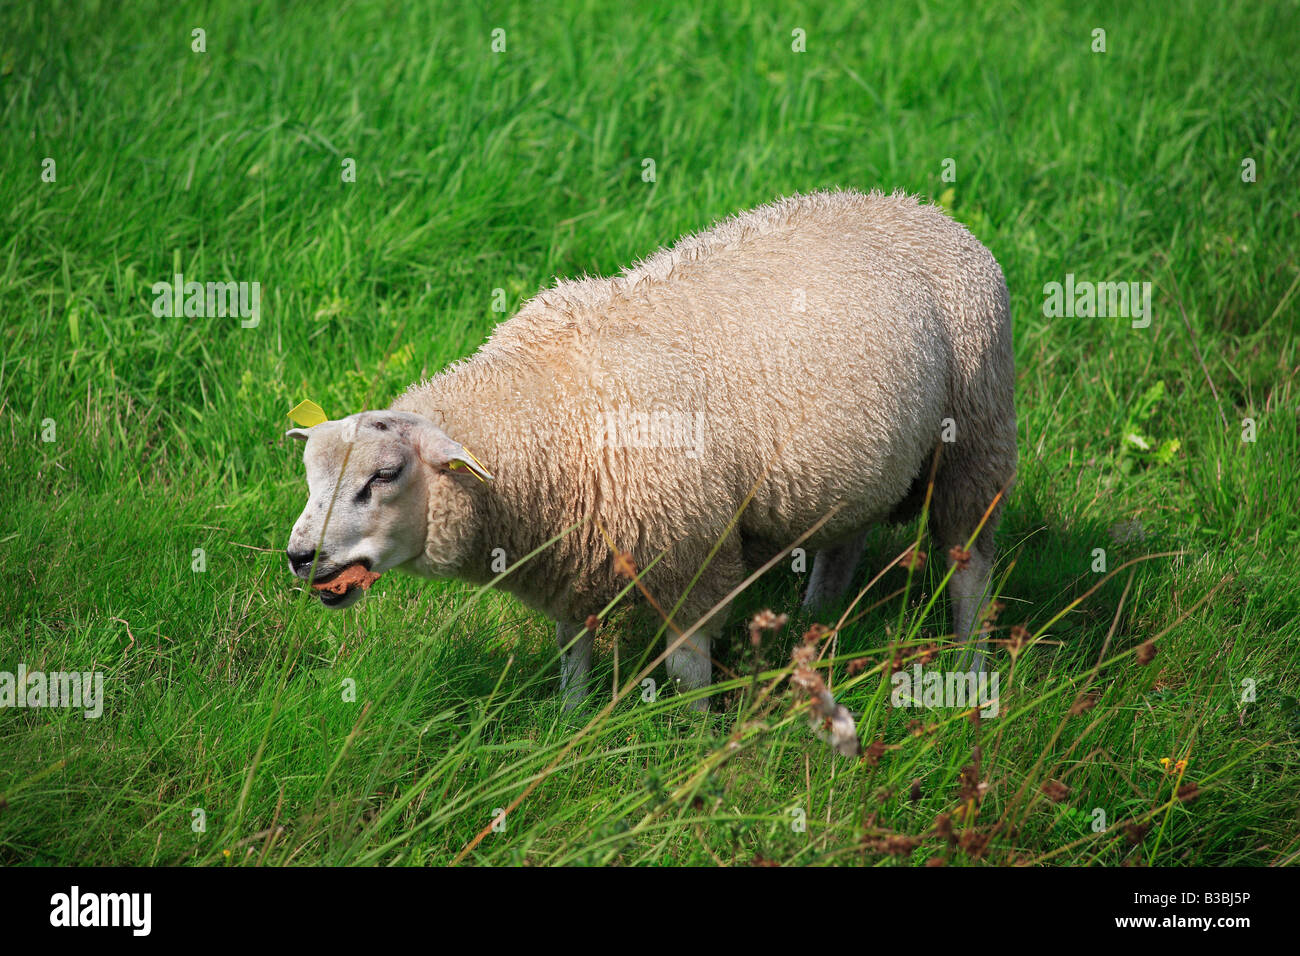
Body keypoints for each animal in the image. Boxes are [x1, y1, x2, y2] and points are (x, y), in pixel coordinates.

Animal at [286, 189, 1017, 710]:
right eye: (310, 477)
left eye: (384, 475)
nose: (299, 556)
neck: (551, 409)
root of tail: (918, 206)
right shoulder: (570, 553)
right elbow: (572, 651)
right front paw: (568, 724)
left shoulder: (692, 549)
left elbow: (688, 668)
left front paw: (693, 742)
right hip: (860, 461)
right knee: (845, 538)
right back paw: (817, 619)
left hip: (976, 441)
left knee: (970, 571)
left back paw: (970, 669)